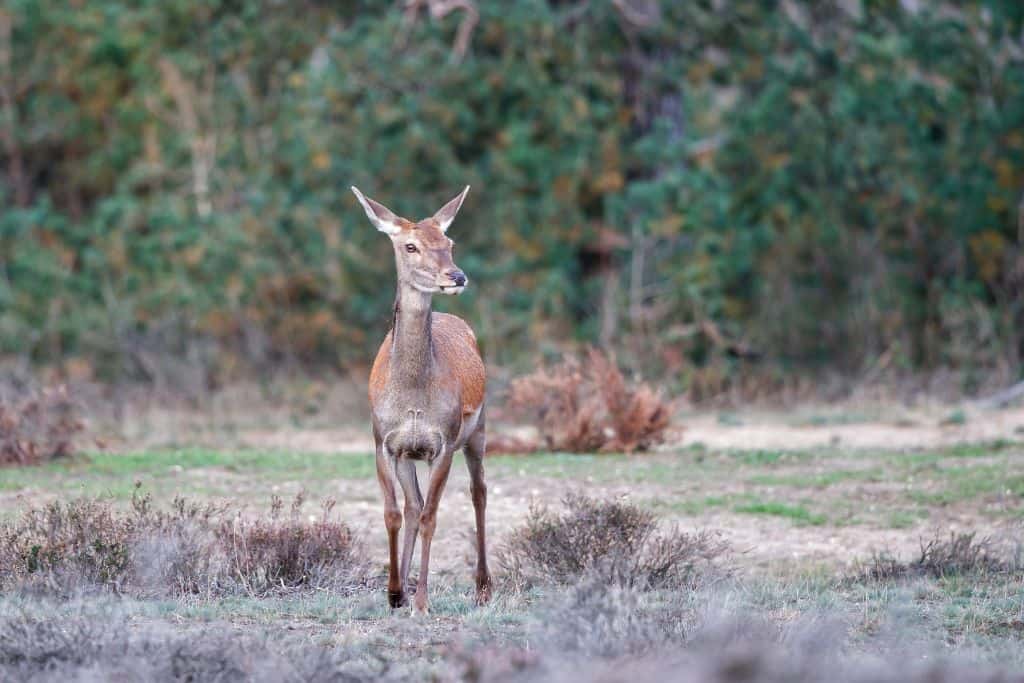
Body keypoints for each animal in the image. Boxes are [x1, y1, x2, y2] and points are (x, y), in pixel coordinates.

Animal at [350, 185, 491, 613]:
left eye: (450, 242)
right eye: (410, 245)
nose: (457, 276)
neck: (412, 398)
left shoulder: (442, 442)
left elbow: (432, 516)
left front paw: (423, 600)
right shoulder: (384, 441)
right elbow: (394, 513)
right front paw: (394, 592)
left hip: (479, 429)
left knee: (479, 493)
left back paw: (483, 586)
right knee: (412, 505)